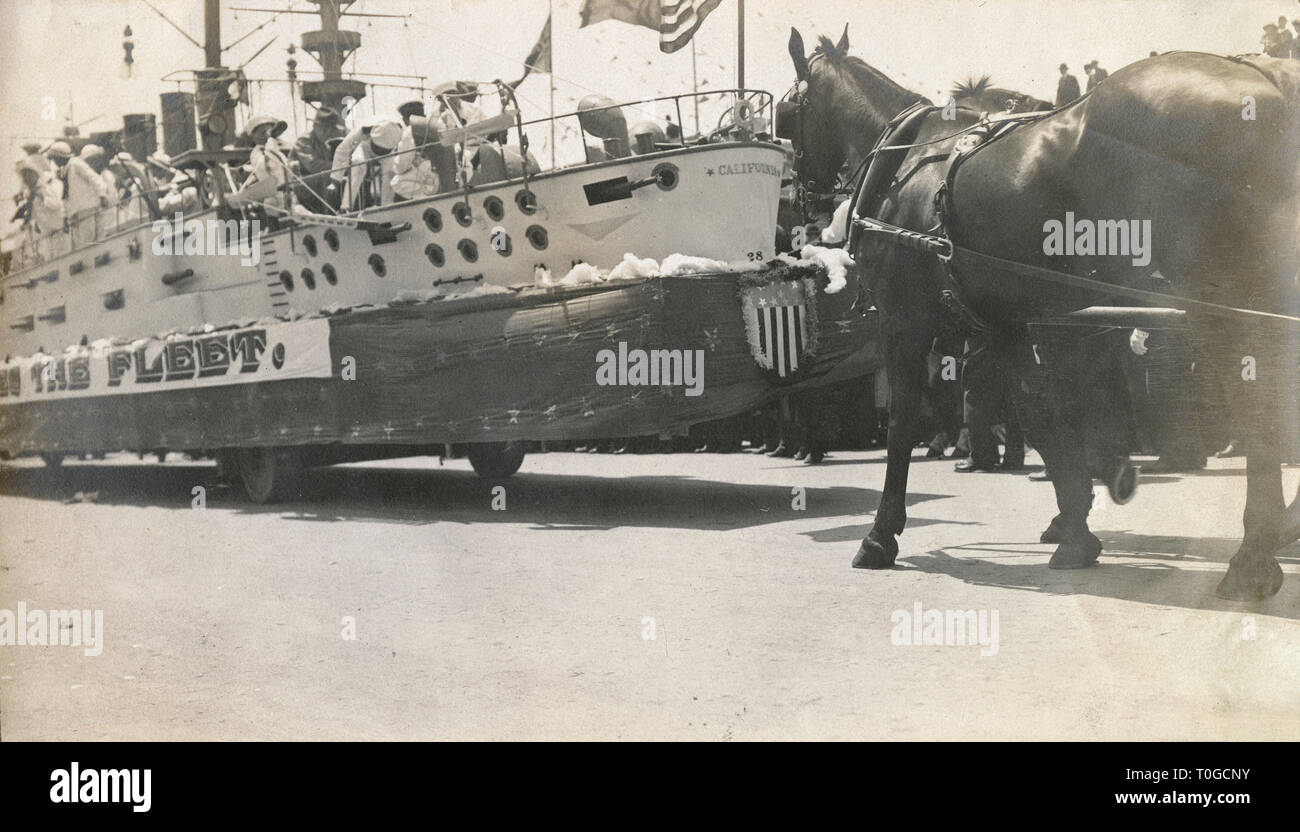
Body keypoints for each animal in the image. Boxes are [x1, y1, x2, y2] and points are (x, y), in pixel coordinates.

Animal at [785, 26, 1300, 598]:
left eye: (785, 112)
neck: (907, 163)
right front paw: (1074, 527)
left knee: (1258, 408)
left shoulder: (905, 322)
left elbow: (904, 424)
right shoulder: (1006, 326)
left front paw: (880, 535)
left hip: (1222, 305)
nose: (808, 204)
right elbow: (1040, 415)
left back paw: (1253, 555)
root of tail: (1262, 74)